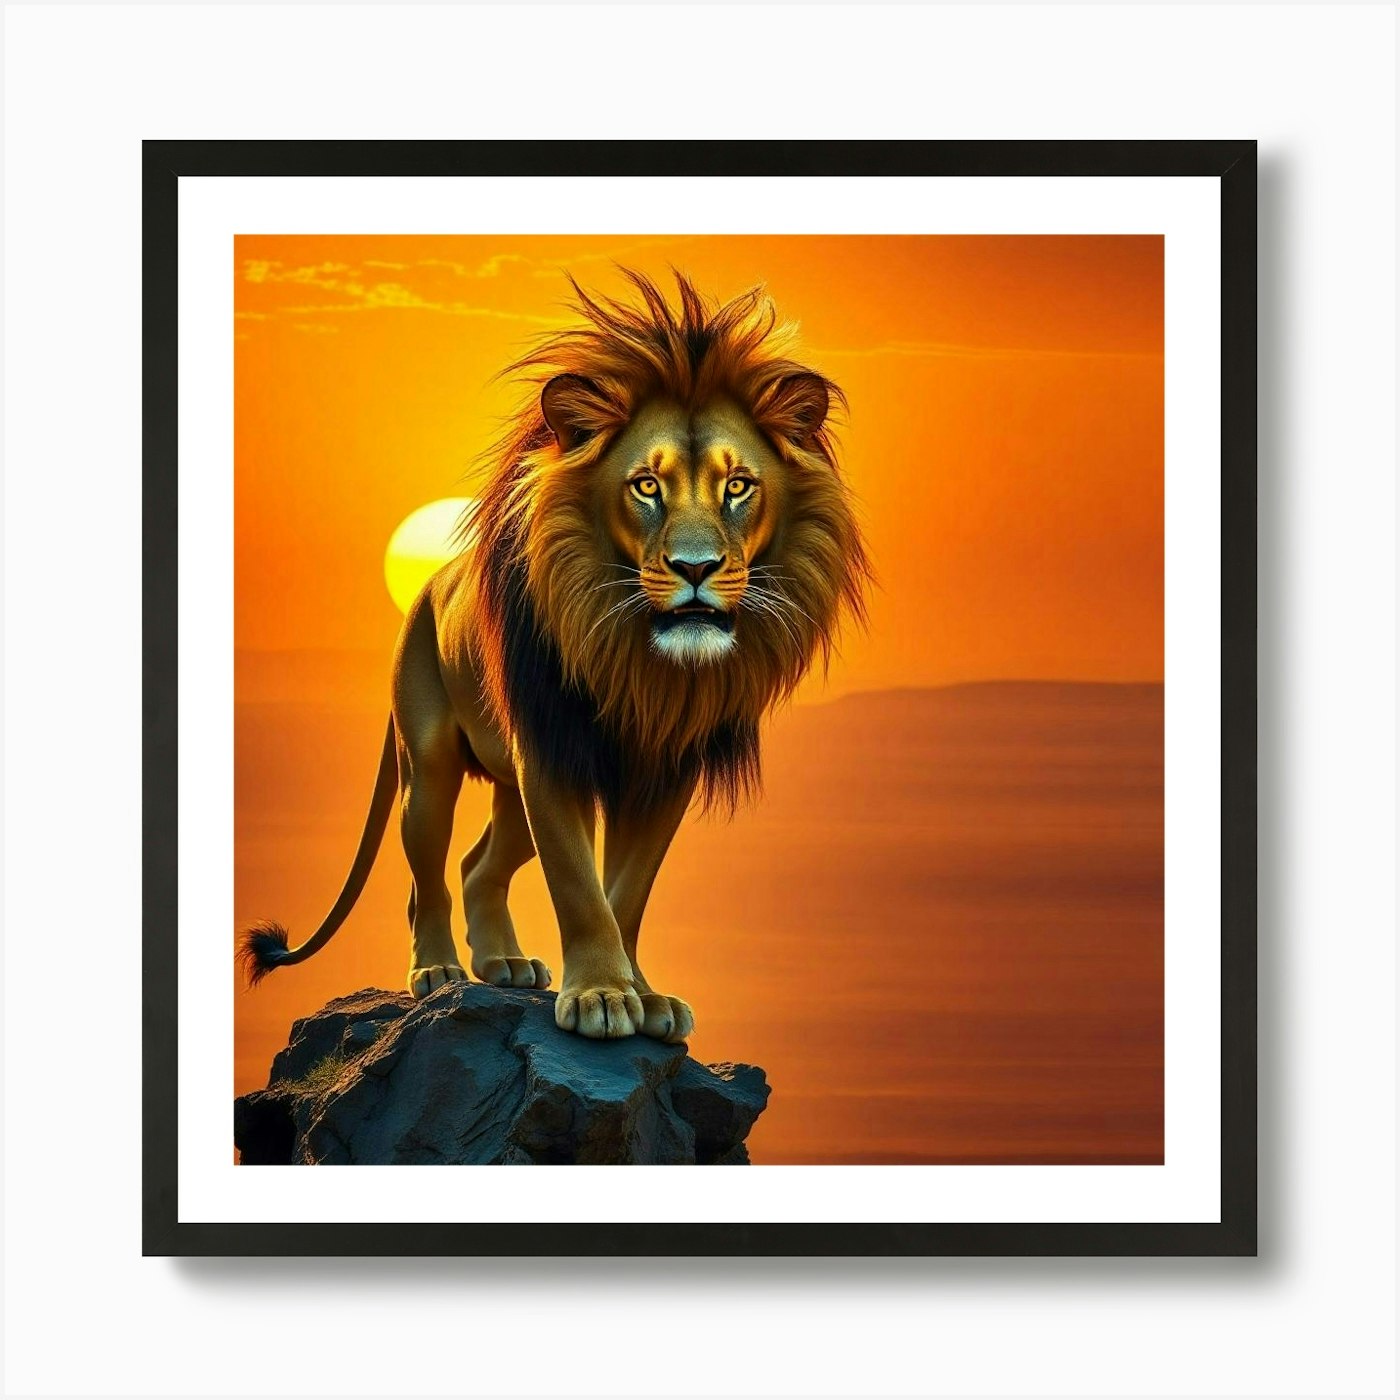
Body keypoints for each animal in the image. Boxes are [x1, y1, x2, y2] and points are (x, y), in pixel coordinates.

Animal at [239, 269, 871, 1041]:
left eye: (739, 485)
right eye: (647, 485)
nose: (695, 567)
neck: (640, 661)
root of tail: (425, 590)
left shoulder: (663, 770)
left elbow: (626, 892)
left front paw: (641, 995)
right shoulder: (551, 753)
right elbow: (577, 884)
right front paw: (600, 996)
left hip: (509, 790)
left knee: (479, 865)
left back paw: (503, 964)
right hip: (431, 768)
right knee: (426, 875)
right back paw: (437, 970)